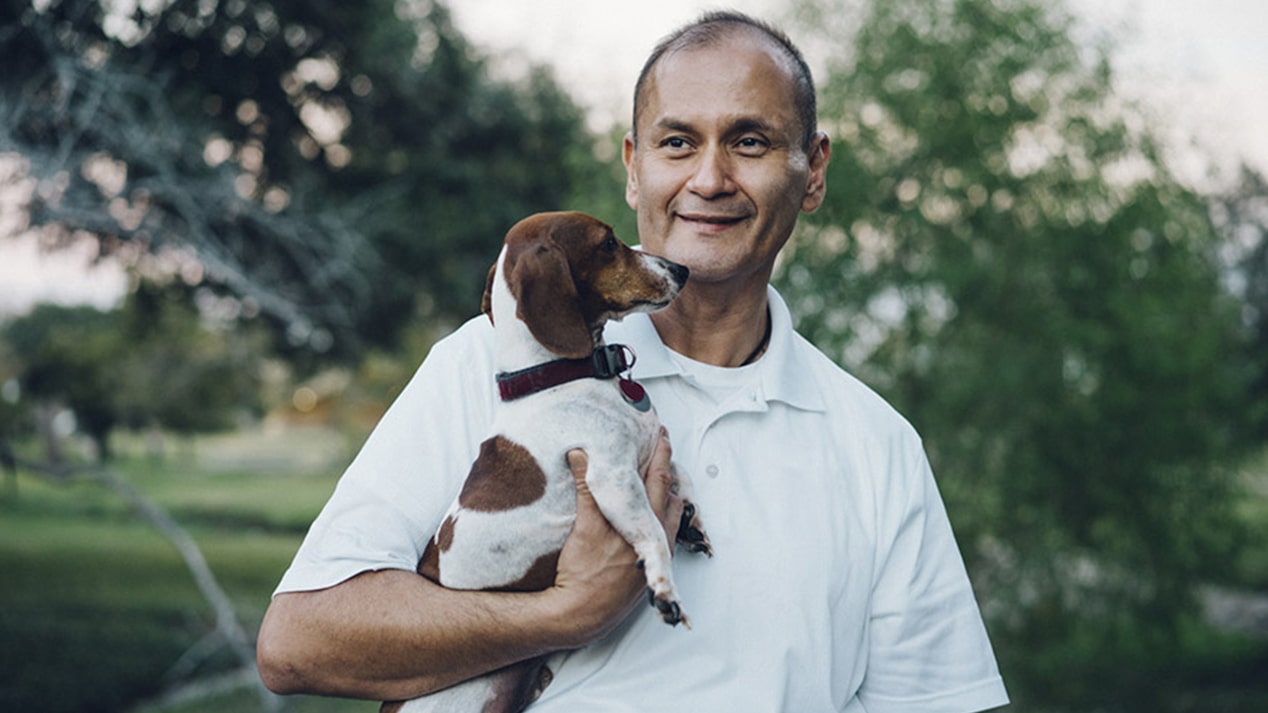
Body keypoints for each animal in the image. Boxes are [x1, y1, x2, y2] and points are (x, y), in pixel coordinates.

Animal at [380, 210, 710, 710]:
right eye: (608, 243)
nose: (682, 269)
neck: (558, 376)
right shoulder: (612, 478)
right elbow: (653, 531)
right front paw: (664, 589)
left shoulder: (646, 451)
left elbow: (681, 473)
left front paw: (691, 522)